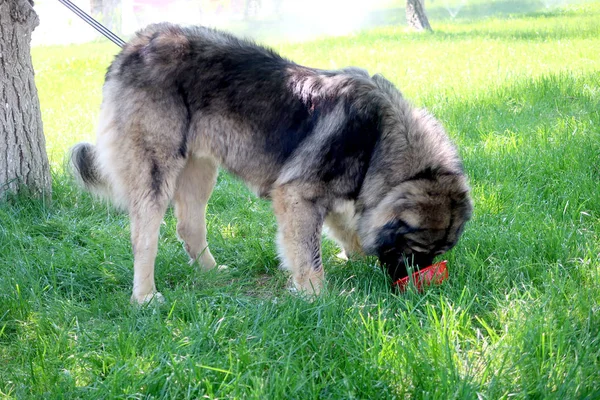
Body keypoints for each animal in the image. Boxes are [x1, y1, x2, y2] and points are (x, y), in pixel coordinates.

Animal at [70, 22, 474, 304]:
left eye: (436, 255)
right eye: (414, 252)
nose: (414, 283)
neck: (378, 140)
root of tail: (133, 46)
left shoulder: (333, 196)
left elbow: (347, 231)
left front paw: (350, 260)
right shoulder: (298, 195)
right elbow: (308, 254)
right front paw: (316, 297)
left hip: (200, 168)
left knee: (189, 226)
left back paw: (212, 273)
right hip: (156, 168)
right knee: (144, 236)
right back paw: (145, 296)